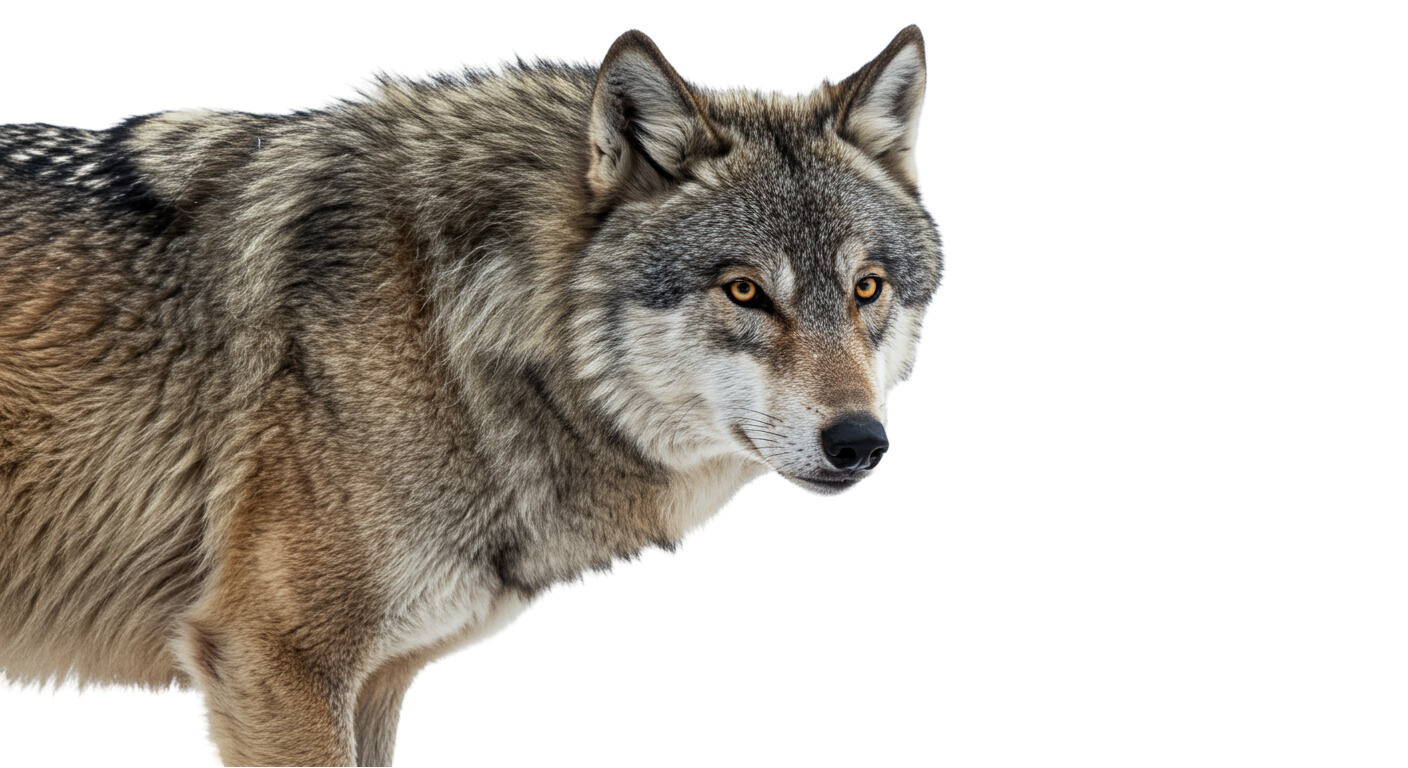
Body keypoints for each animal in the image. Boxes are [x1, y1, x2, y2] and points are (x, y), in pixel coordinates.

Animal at [0, 24, 946, 765]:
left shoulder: (375, 685)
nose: (859, 441)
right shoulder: (269, 662)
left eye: (866, 289)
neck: (456, 321)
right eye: (745, 291)